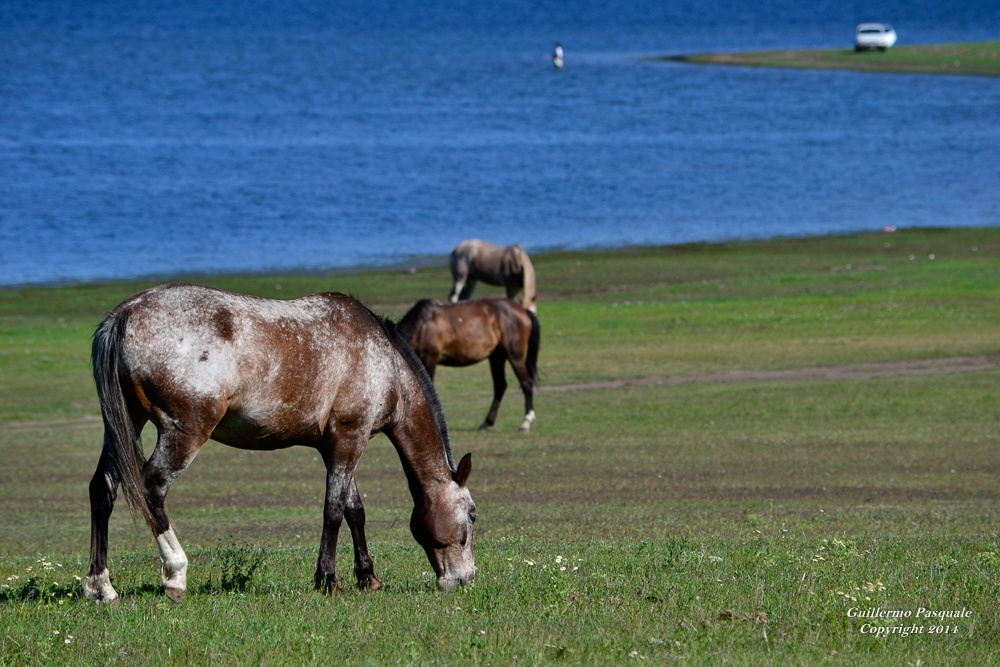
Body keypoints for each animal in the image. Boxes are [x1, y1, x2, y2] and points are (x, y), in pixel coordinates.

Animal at [86, 284, 476, 604]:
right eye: (472, 515)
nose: (466, 578)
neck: (384, 363)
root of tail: (124, 315)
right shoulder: (350, 438)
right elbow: (334, 510)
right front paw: (327, 580)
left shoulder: (337, 445)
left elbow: (354, 510)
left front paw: (367, 577)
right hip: (184, 433)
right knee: (151, 488)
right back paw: (175, 575)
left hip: (126, 424)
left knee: (102, 489)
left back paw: (101, 586)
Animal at [396, 298, 540, 434]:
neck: (422, 324)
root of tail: (523, 310)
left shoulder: (430, 358)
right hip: (496, 356)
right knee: (500, 386)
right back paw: (486, 424)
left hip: (514, 355)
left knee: (526, 382)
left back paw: (526, 422)